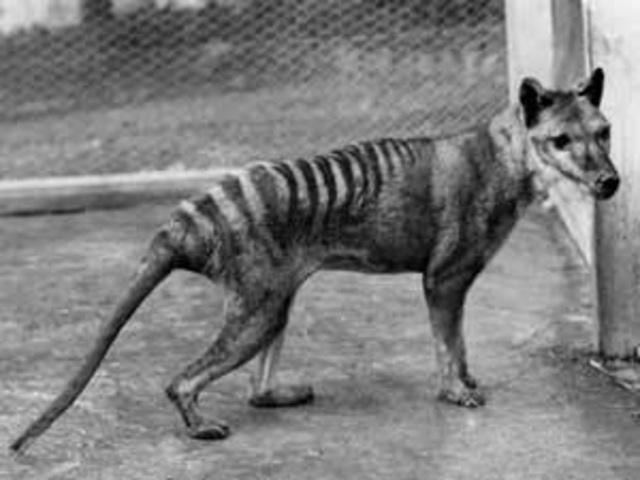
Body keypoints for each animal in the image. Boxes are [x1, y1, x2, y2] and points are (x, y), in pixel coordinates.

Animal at [10, 68, 618, 453]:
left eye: (605, 132)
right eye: (560, 140)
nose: (608, 182)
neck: (505, 156)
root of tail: (188, 220)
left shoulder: (455, 285)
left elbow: (461, 343)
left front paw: (466, 378)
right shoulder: (444, 280)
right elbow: (449, 343)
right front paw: (456, 391)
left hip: (276, 301)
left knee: (256, 389)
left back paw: (277, 393)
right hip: (256, 312)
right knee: (181, 382)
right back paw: (199, 425)